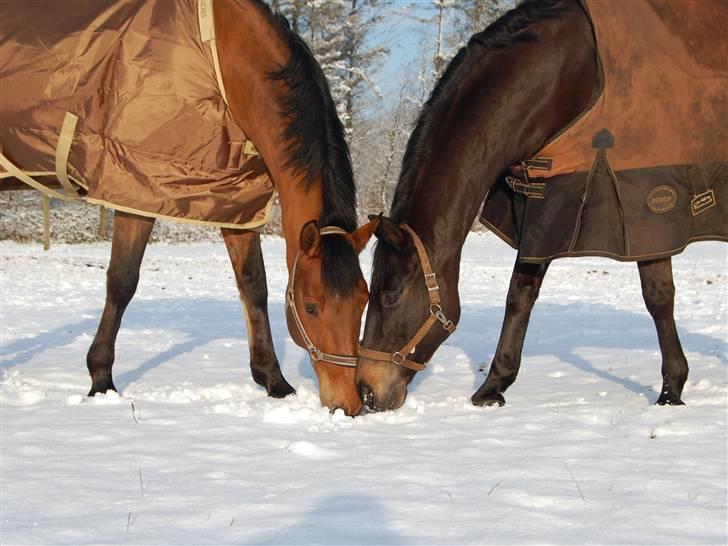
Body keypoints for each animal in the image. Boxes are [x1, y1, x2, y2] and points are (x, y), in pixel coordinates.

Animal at [1, 0, 376, 414]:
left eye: (363, 301)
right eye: (310, 307)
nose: (349, 402)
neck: (219, 59)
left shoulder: (236, 199)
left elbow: (253, 286)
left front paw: (274, 381)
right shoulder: (136, 183)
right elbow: (122, 281)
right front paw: (101, 381)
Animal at [358, 0, 728, 408]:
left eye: (391, 295)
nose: (367, 392)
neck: (572, 76)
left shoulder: (649, 204)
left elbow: (658, 297)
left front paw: (671, 391)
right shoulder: (545, 201)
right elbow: (520, 293)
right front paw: (492, 387)